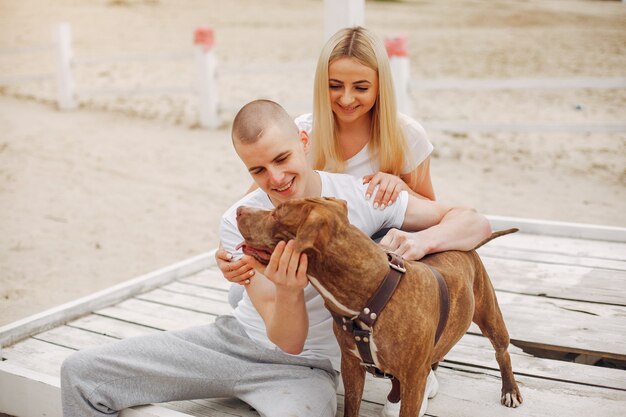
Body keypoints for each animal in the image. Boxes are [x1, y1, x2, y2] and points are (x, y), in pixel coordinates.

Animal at [234, 197, 520, 414]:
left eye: (277, 213)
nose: (239, 209)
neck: (374, 296)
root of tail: (467, 247)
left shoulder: (414, 380)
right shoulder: (351, 365)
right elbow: (351, 407)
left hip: (490, 316)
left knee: (502, 351)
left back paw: (510, 390)